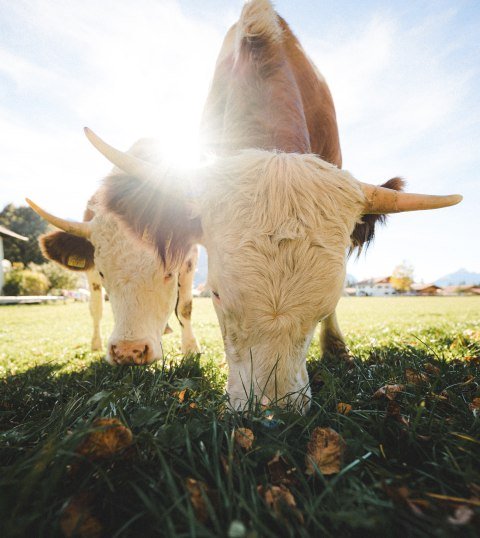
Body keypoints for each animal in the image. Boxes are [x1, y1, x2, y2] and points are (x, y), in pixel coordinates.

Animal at [27, 138, 200, 364]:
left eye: (169, 273)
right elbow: (96, 307)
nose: (128, 352)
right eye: (103, 273)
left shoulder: (190, 261)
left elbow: (185, 307)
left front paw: (191, 348)